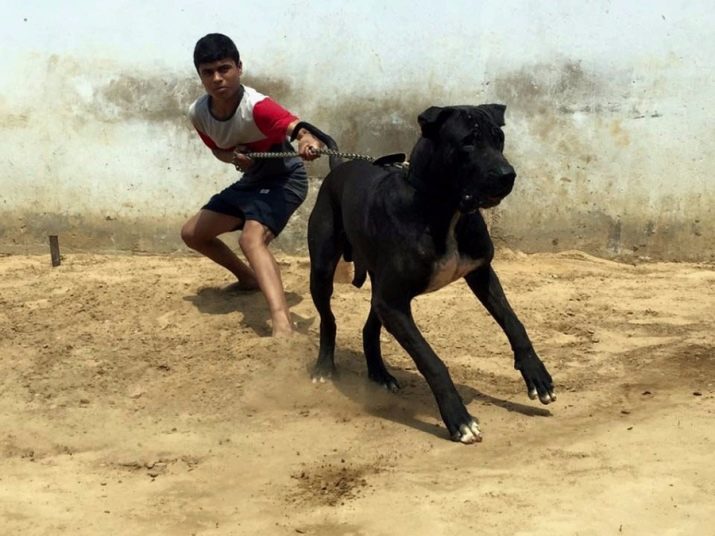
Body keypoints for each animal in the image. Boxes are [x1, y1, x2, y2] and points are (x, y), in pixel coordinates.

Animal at [304, 104, 556, 444]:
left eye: (499, 138)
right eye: (467, 142)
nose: (508, 175)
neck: (445, 211)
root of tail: (339, 166)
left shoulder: (480, 273)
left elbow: (513, 322)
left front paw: (536, 374)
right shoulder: (394, 303)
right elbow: (431, 361)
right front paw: (459, 419)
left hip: (379, 288)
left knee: (370, 327)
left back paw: (379, 373)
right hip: (322, 270)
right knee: (328, 319)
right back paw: (323, 368)